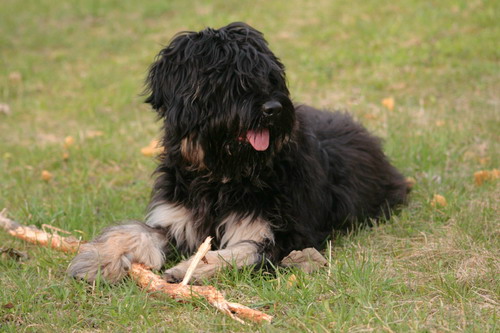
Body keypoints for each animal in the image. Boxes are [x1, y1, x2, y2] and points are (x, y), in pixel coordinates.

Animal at [67, 22, 410, 282]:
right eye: (229, 80)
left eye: (271, 76)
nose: (273, 109)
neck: (220, 176)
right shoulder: (176, 217)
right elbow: (135, 230)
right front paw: (98, 259)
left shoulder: (285, 233)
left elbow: (243, 251)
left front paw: (187, 269)